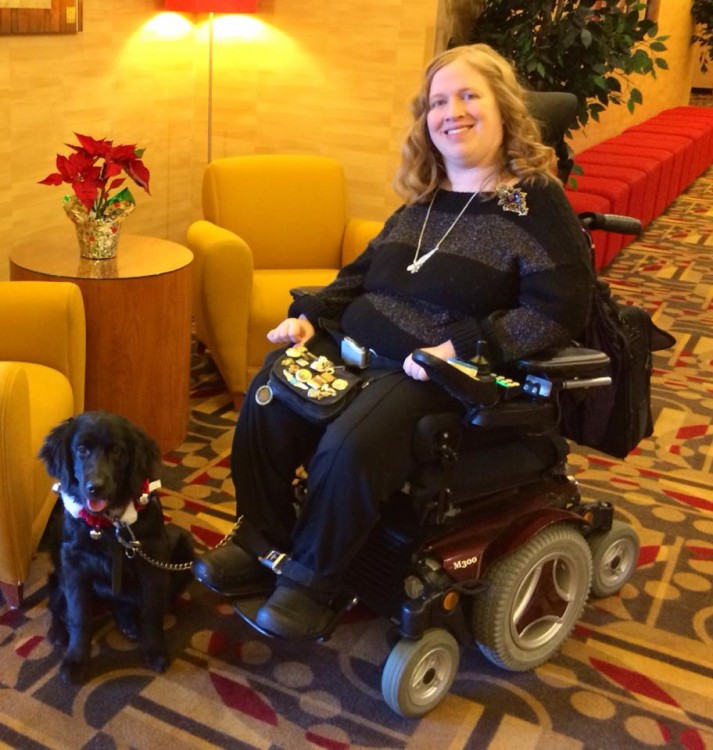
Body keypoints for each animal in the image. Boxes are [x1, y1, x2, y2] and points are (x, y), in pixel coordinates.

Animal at [38, 414, 195, 684]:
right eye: (81, 449)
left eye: (116, 451)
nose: (95, 488)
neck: (109, 524)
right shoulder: (73, 565)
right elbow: (79, 616)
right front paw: (76, 660)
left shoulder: (152, 561)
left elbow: (152, 611)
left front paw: (154, 651)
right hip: (60, 569)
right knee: (56, 603)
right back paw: (58, 633)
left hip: (184, 550)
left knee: (125, 603)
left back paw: (129, 624)